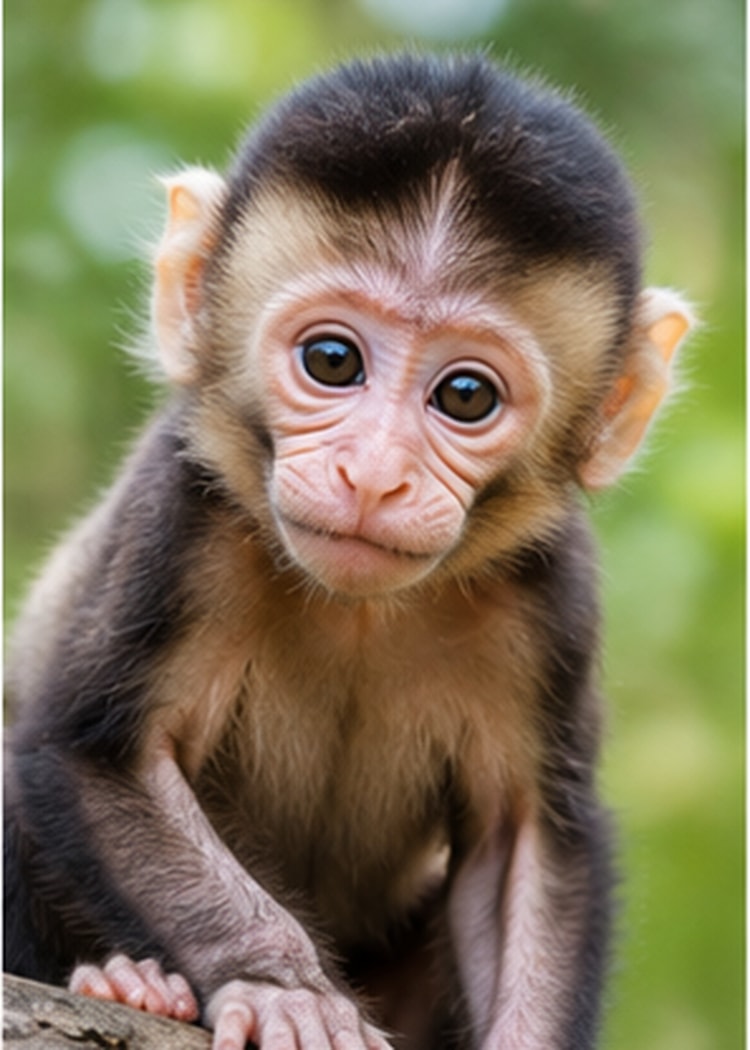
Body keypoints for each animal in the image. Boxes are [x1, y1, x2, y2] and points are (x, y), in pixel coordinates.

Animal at [4, 52, 694, 1050]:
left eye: (466, 397)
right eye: (332, 361)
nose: (373, 476)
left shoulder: (553, 593)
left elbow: (523, 837)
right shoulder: (179, 515)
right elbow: (93, 754)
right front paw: (282, 987)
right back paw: (130, 982)